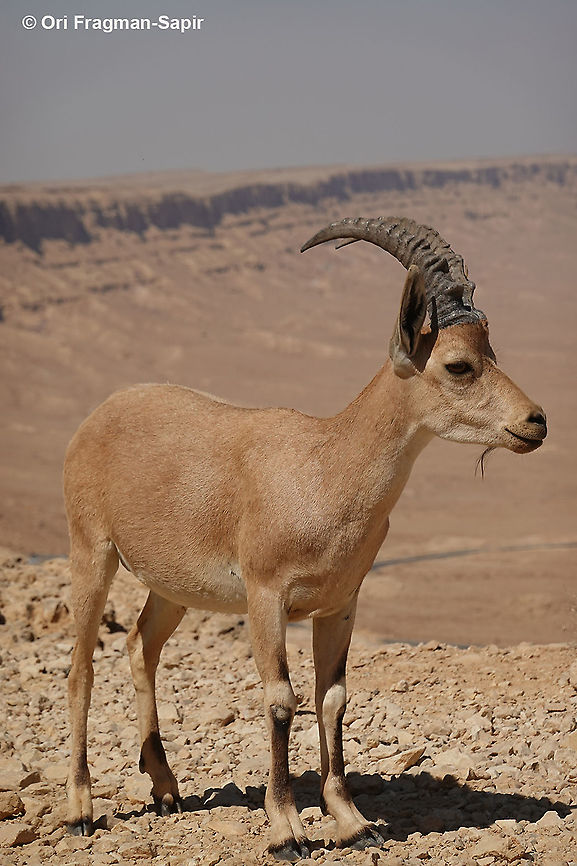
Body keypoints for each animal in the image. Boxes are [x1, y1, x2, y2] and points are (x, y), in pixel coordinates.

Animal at [63, 217, 546, 859]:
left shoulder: (339, 605)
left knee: (142, 645)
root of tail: (99, 413)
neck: (326, 470)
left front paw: (353, 822)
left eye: (491, 351)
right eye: (459, 365)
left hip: (173, 586)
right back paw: (80, 810)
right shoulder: (266, 597)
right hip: (91, 550)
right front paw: (285, 831)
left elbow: (333, 698)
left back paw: (165, 788)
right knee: (80, 670)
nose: (536, 422)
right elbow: (280, 699)